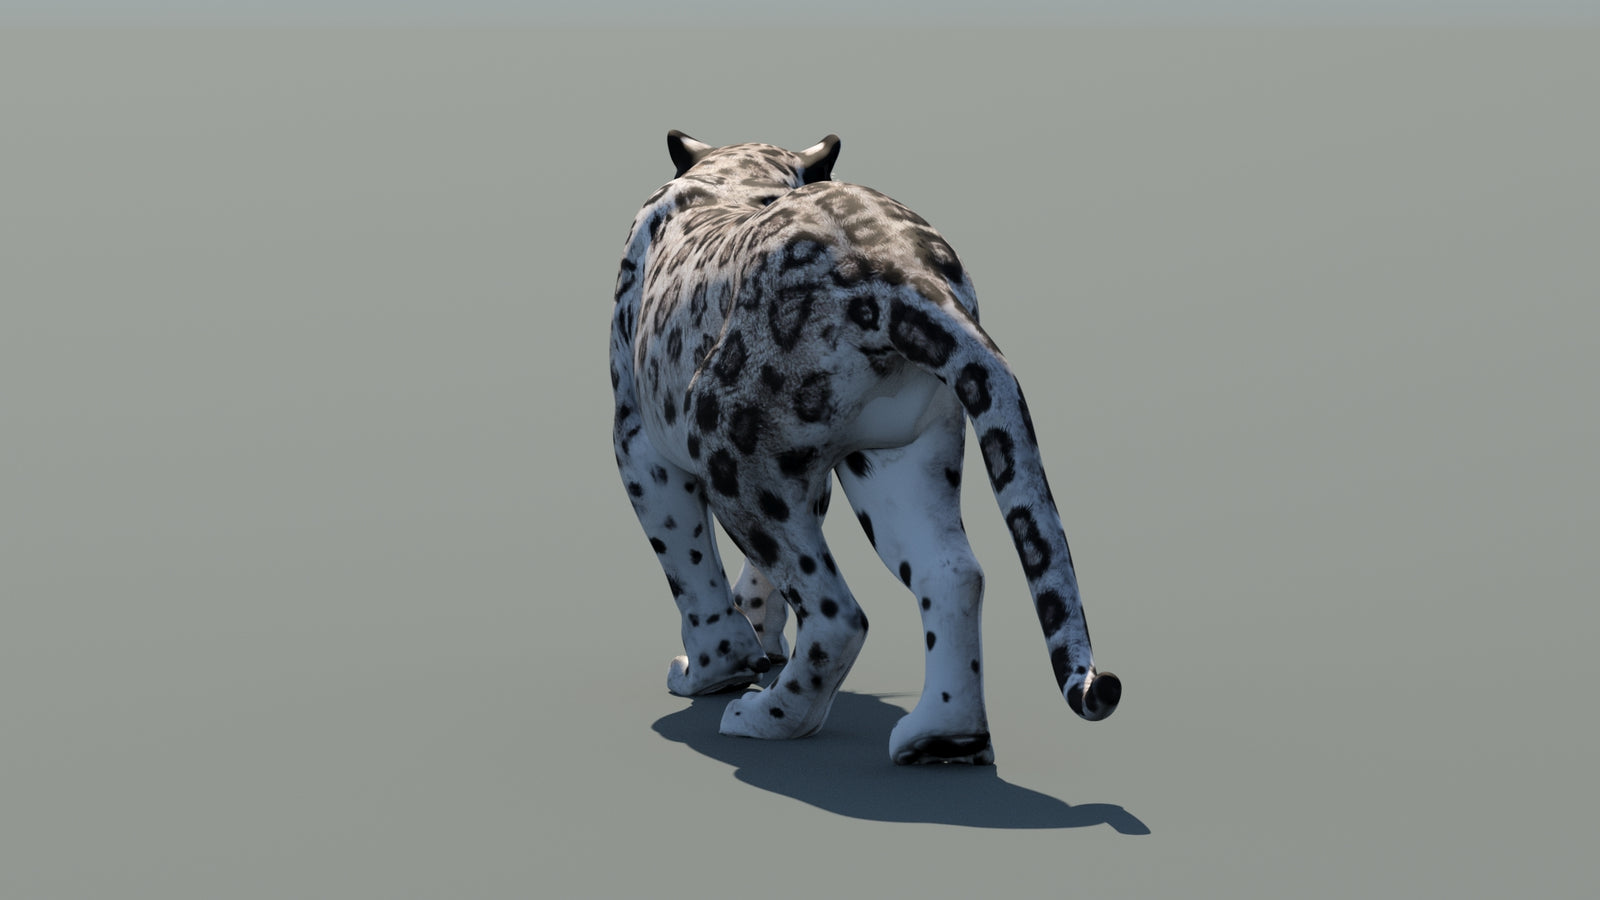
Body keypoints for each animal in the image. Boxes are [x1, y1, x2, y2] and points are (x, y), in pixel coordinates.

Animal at [609, 131, 1120, 765]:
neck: (741, 177)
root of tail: (907, 272)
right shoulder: (813, 474)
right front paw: (759, 638)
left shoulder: (638, 443)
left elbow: (687, 560)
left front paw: (715, 667)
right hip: (899, 459)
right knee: (952, 572)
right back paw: (941, 738)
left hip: (734, 456)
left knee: (838, 611)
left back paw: (765, 716)